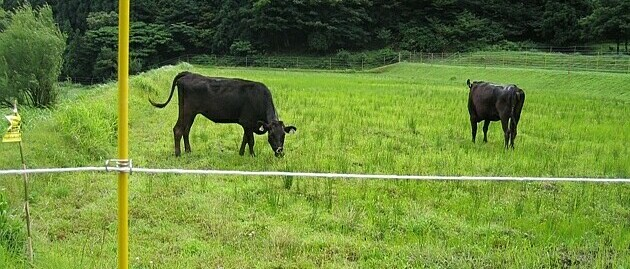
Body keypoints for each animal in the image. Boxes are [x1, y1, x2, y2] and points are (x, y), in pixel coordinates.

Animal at [149, 71, 298, 157]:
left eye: (283, 135)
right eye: (271, 135)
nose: (280, 152)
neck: (259, 98)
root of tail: (189, 74)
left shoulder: (247, 125)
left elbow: (245, 139)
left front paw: (241, 154)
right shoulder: (248, 122)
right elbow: (250, 140)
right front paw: (252, 155)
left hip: (190, 112)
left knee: (186, 130)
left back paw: (188, 151)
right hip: (187, 111)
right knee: (178, 129)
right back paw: (178, 154)